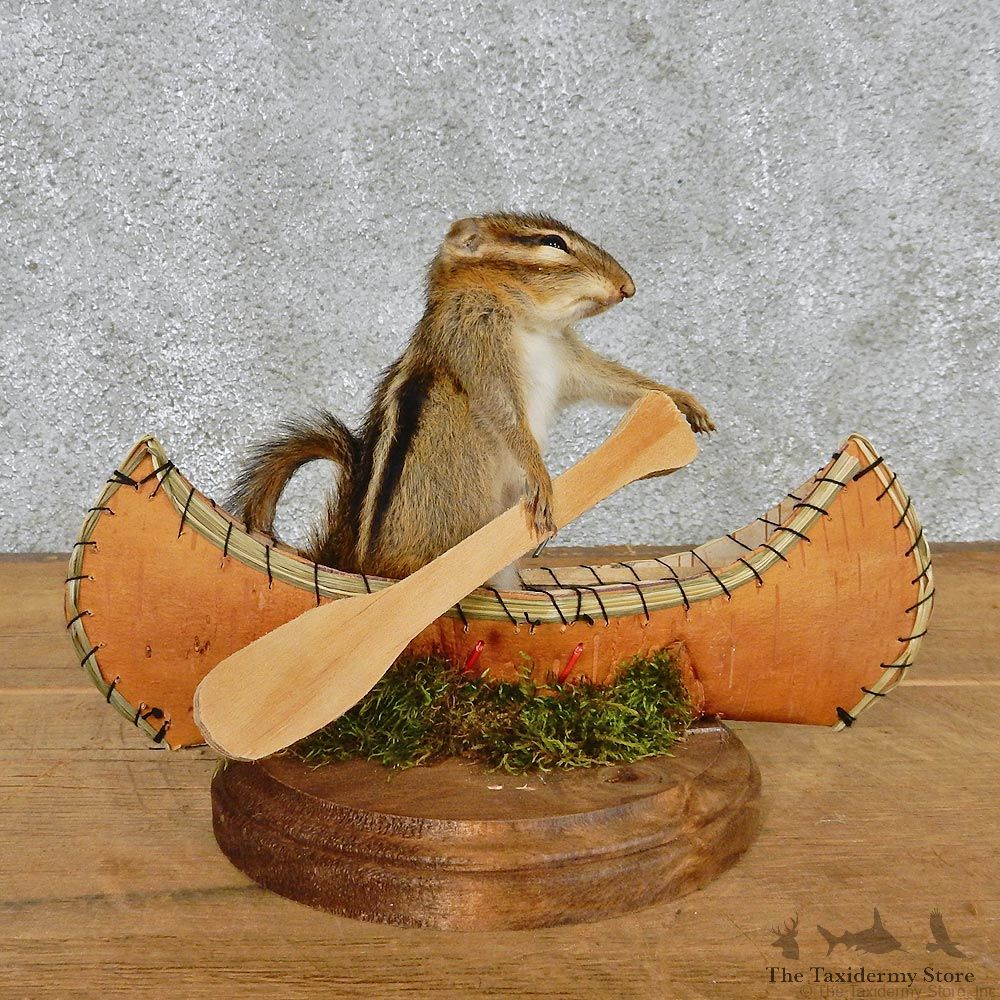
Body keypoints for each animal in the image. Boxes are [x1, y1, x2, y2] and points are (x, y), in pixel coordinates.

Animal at [229, 212, 713, 584]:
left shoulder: (568, 361)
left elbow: (613, 381)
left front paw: (682, 401)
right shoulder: (477, 345)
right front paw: (541, 478)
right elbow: (507, 416)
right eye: (553, 242)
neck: (528, 321)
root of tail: (356, 564)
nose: (627, 286)